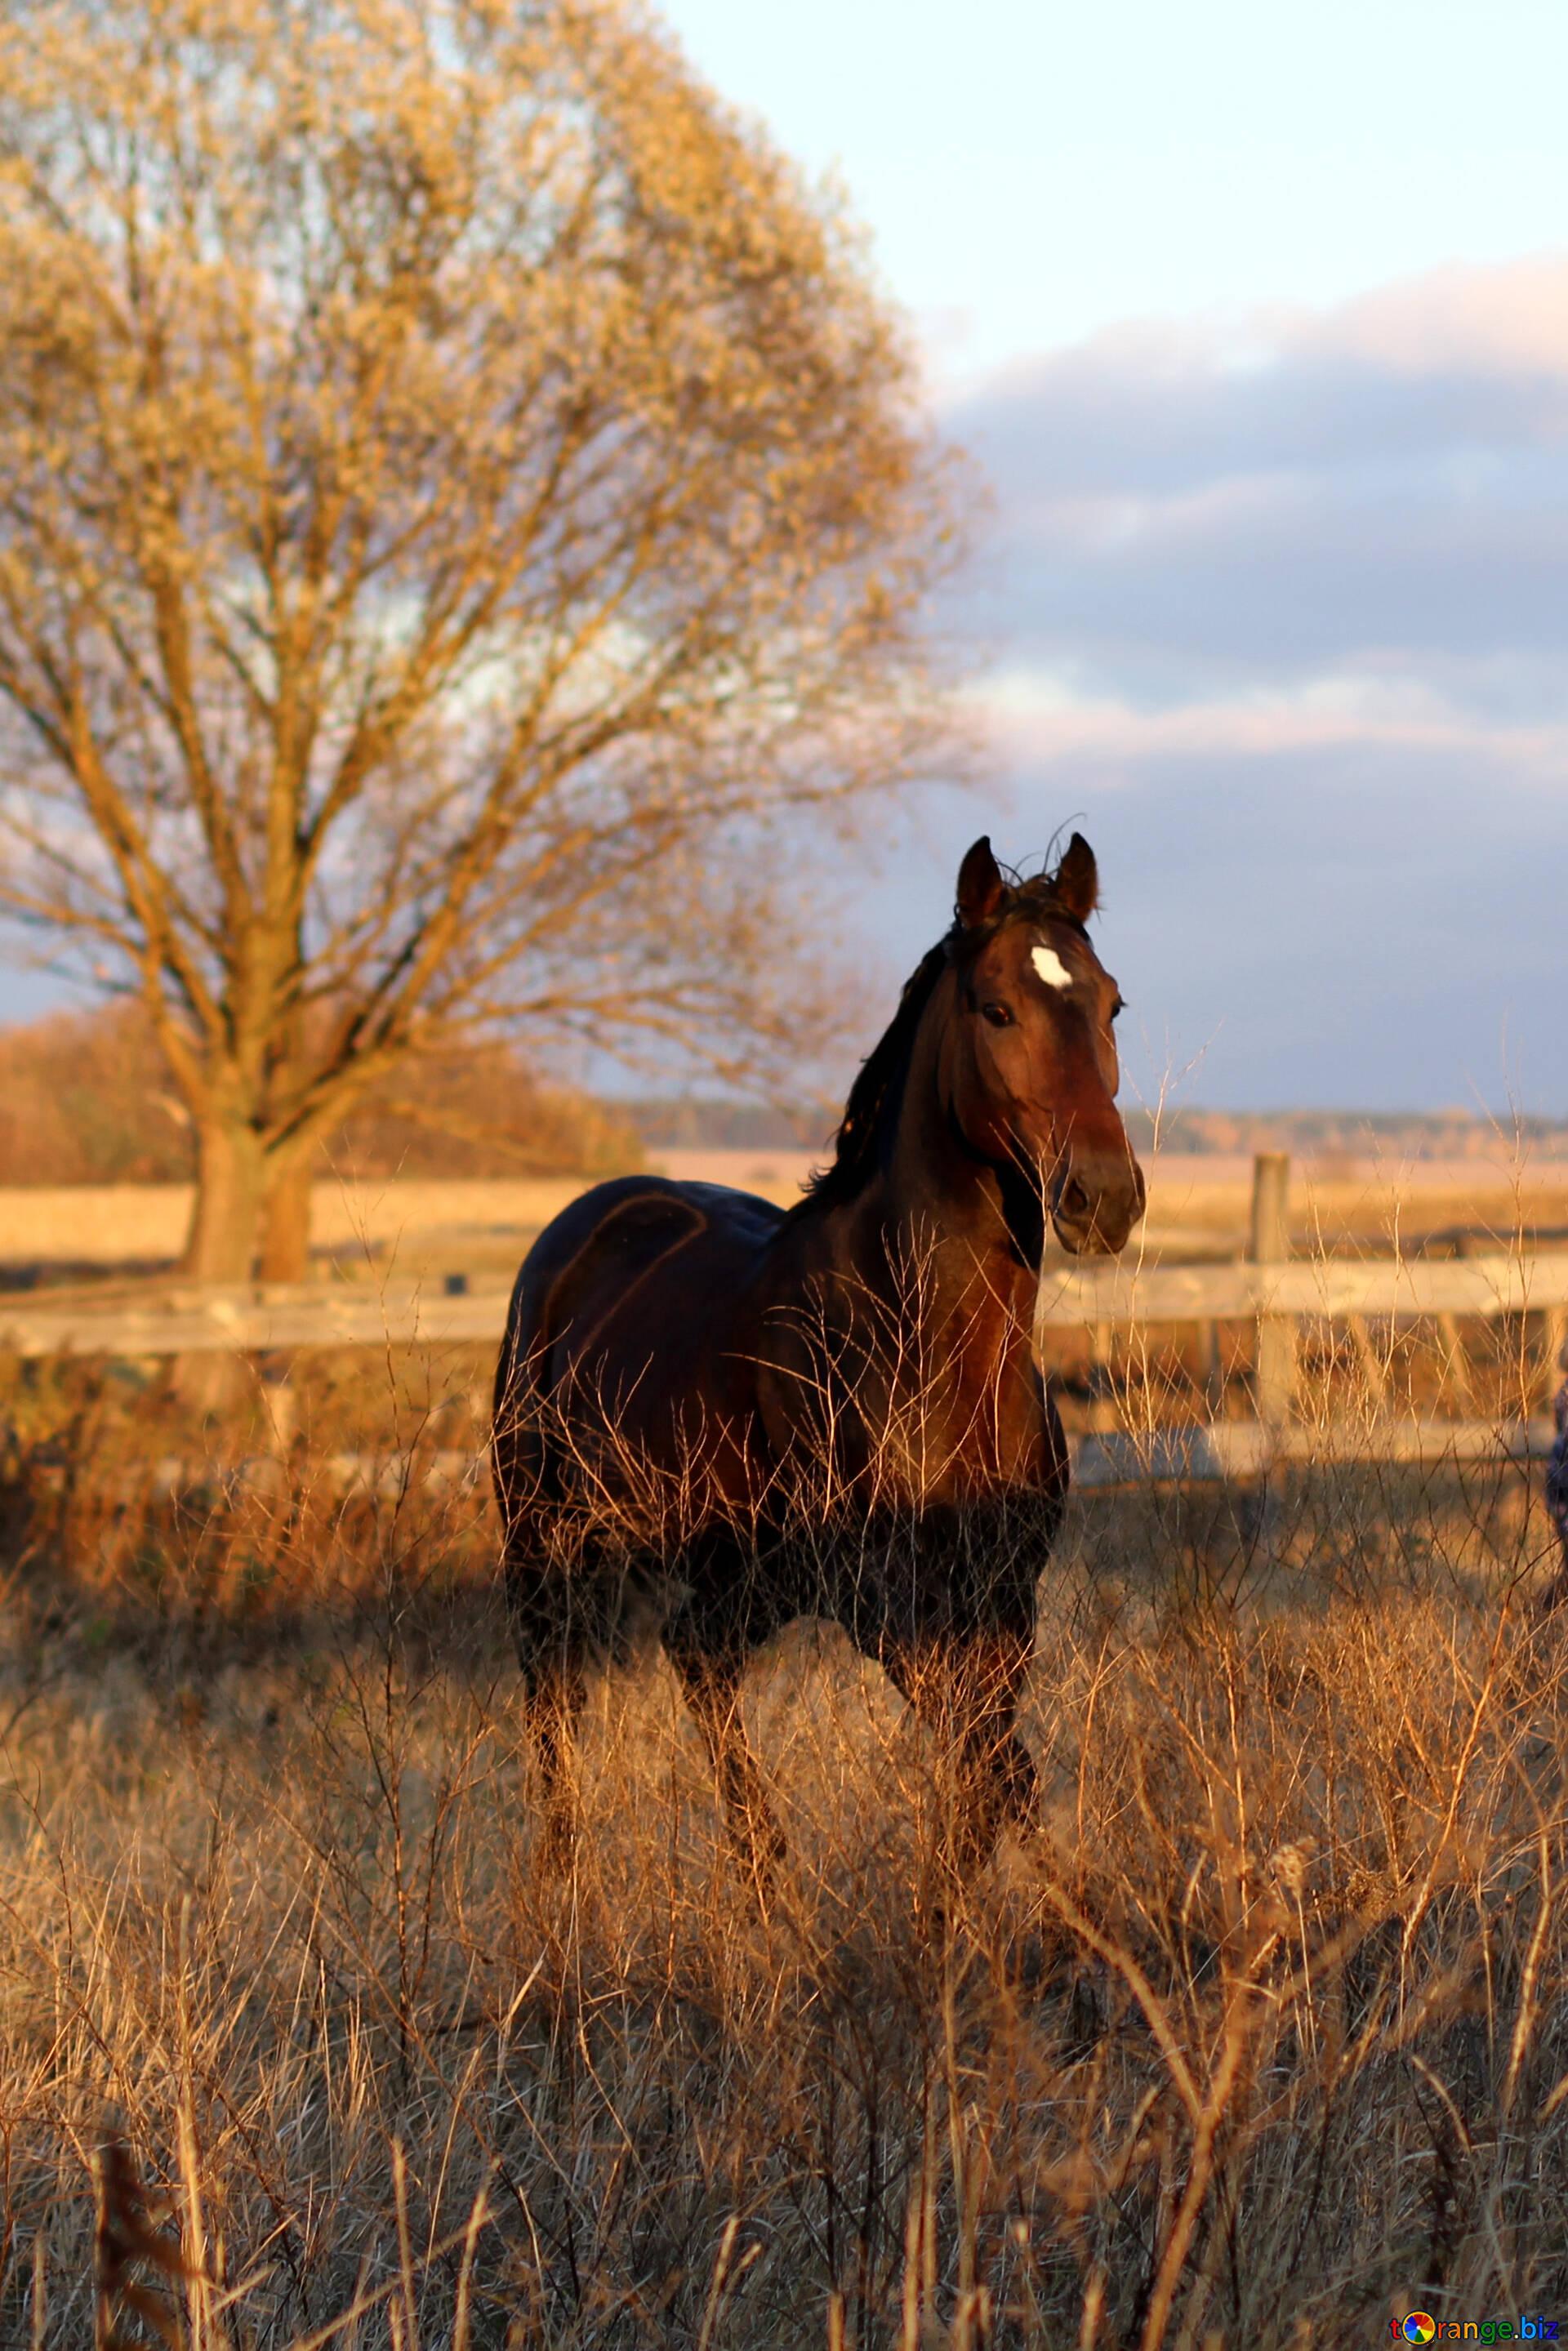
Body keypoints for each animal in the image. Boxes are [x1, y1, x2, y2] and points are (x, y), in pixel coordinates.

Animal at [492, 833, 1146, 1897]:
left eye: (1112, 1003)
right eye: (996, 1007)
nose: (1104, 1196)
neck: (933, 1345)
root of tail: (588, 1220)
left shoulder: (1003, 1593)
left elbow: (996, 1768)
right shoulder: (885, 1604)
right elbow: (990, 1762)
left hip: (747, 1564)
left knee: (697, 1653)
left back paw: (768, 1885)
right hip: (547, 1544)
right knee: (555, 1705)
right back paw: (564, 1887)